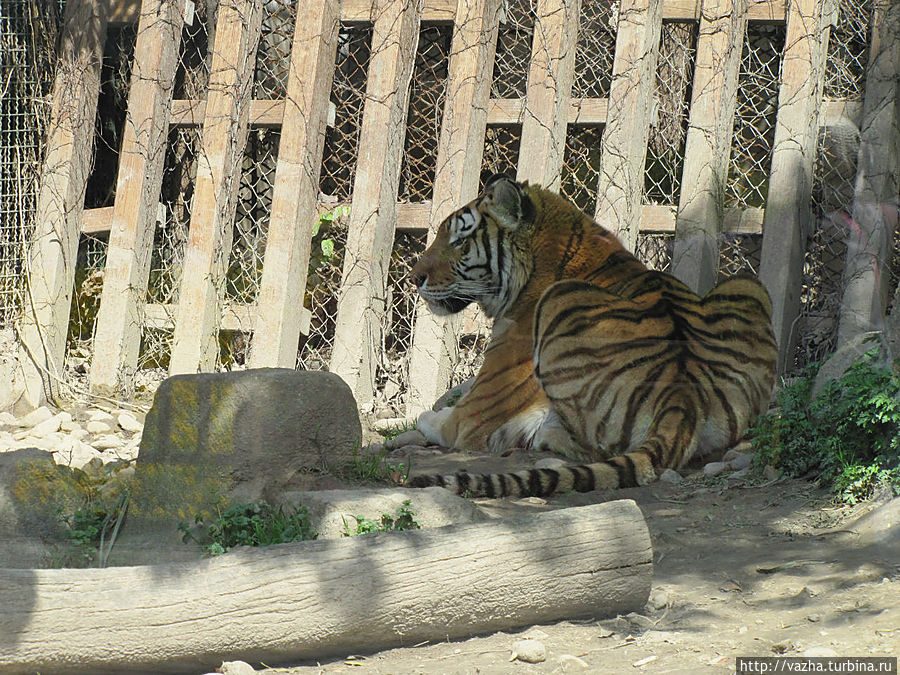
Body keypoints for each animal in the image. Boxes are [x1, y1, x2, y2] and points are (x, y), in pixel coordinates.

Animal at [404, 173, 776, 502]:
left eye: (460, 241)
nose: (414, 277)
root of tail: (682, 394)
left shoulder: (473, 413)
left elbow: (432, 419)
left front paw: (425, 416)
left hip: (560, 300)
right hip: (747, 285)